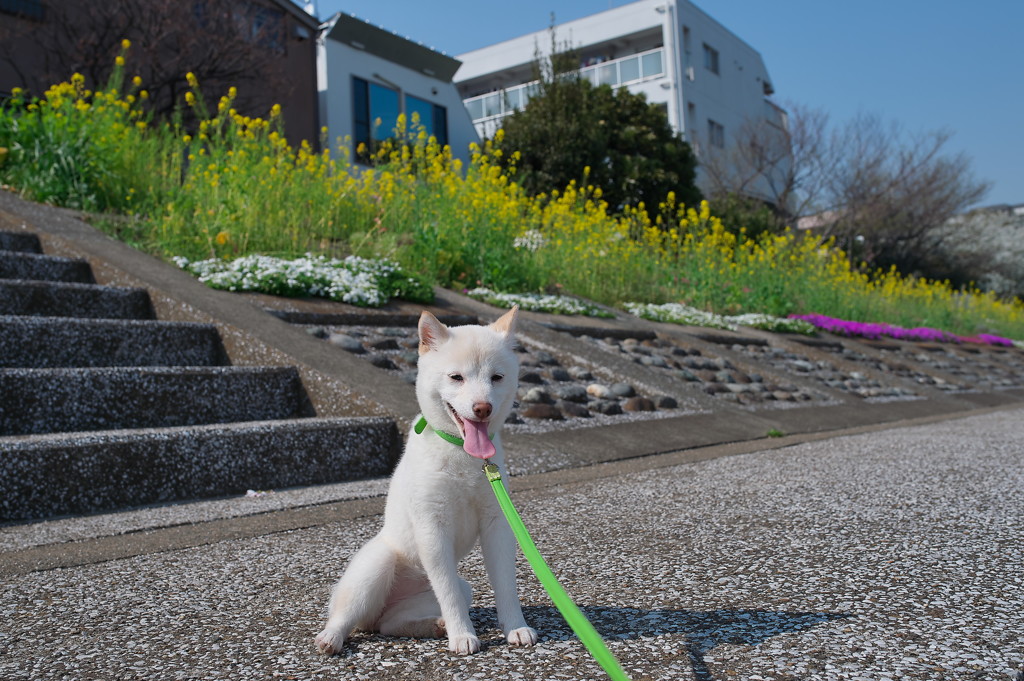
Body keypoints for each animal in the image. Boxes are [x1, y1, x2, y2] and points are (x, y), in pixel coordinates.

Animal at [313, 307, 540, 655]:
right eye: (456, 377)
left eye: (497, 377)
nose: (482, 408)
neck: (462, 454)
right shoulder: (433, 526)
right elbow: (448, 594)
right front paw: (462, 634)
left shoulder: (497, 524)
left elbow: (505, 585)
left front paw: (515, 627)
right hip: (375, 567)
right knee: (346, 616)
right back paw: (331, 637)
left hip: (451, 590)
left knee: (389, 624)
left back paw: (433, 626)